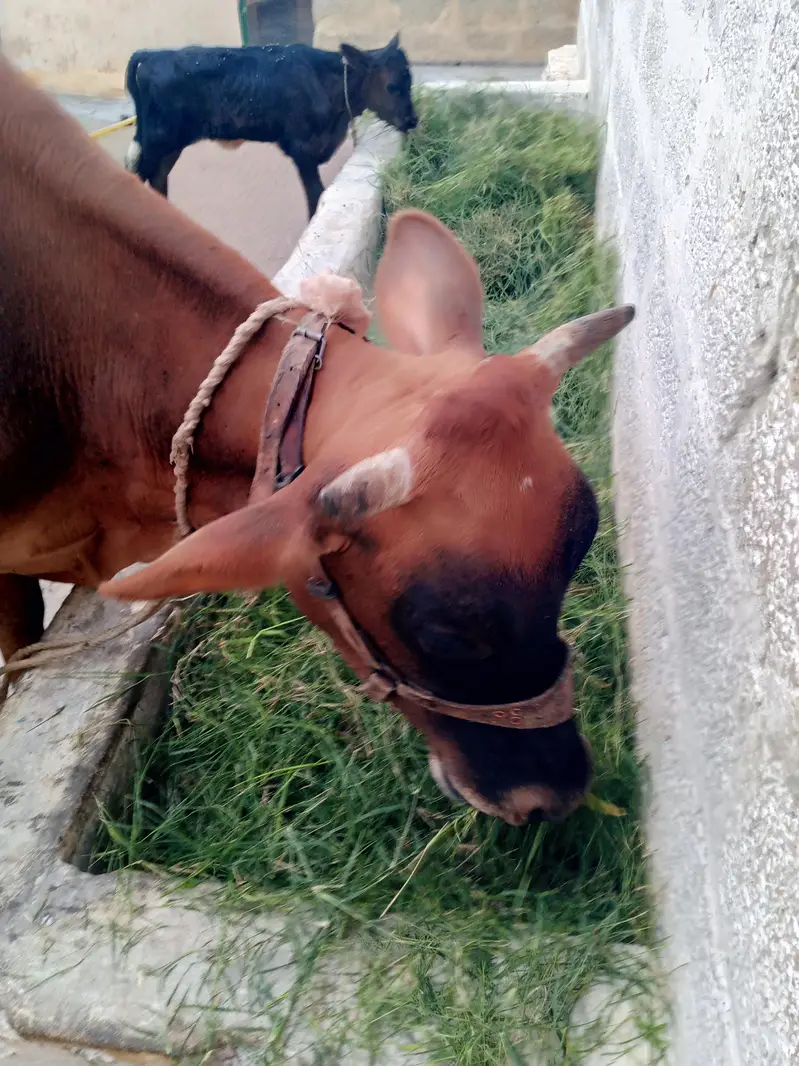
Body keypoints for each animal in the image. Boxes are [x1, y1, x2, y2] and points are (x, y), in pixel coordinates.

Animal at [124, 36, 417, 213]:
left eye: (410, 80)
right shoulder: (301, 150)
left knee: (158, 179)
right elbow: (316, 195)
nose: (413, 120)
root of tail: (149, 55)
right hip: (157, 140)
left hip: (169, 145)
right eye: (392, 86)